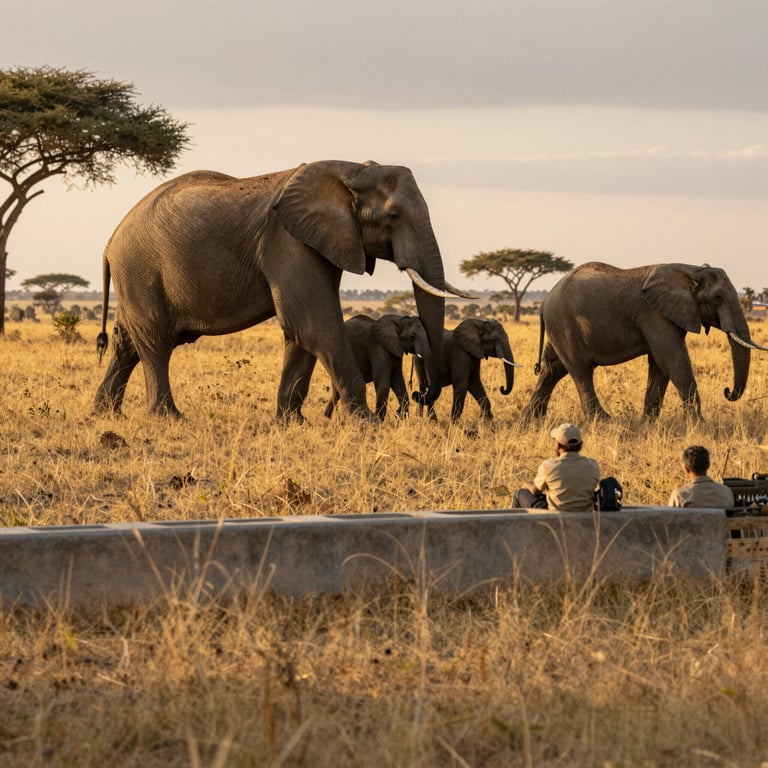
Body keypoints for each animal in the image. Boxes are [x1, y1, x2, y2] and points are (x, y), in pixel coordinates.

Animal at [92, 160, 471, 419]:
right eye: (393, 215)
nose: (423, 397)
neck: (350, 170)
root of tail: (109, 243)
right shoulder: (288, 243)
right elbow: (315, 326)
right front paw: (365, 424)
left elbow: (301, 332)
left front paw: (291, 421)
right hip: (142, 272)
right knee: (156, 342)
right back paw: (168, 418)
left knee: (128, 344)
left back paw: (105, 414)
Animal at [526, 261, 768, 420]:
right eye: (718, 298)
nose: (727, 391)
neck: (691, 269)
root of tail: (545, 301)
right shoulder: (653, 314)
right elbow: (672, 359)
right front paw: (699, 426)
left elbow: (660, 365)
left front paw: (648, 424)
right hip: (564, 323)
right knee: (580, 370)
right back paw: (604, 421)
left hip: (559, 326)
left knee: (553, 369)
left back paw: (531, 421)